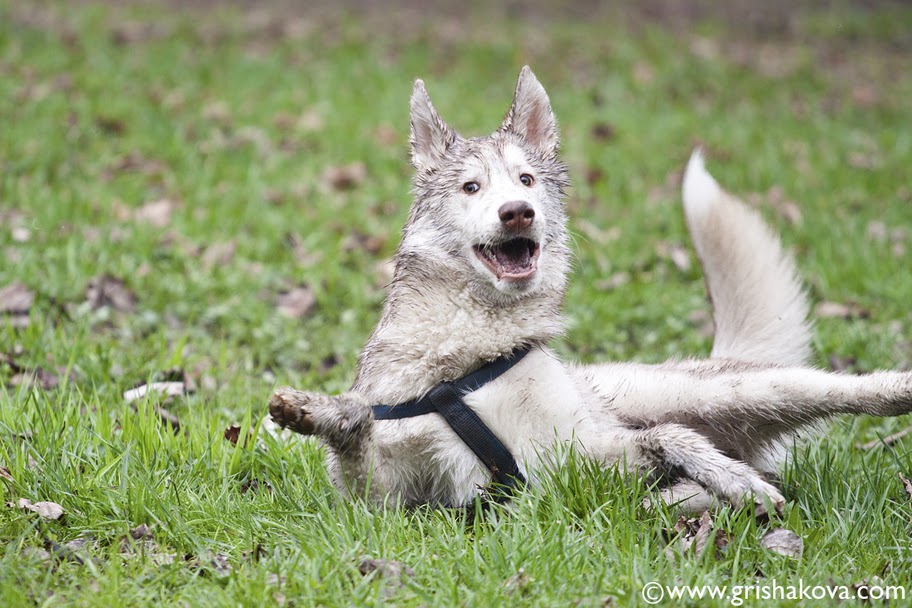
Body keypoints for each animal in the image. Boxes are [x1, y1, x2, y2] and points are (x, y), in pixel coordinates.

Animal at [268, 65, 912, 512]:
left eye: (526, 179)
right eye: (472, 187)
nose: (517, 211)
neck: (475, 347)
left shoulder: (591, 447)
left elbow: (667, 438)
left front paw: (725, 475)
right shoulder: (391, 495)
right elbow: (357, 434)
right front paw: (315, 410)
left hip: (745, 389)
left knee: (836, 391)